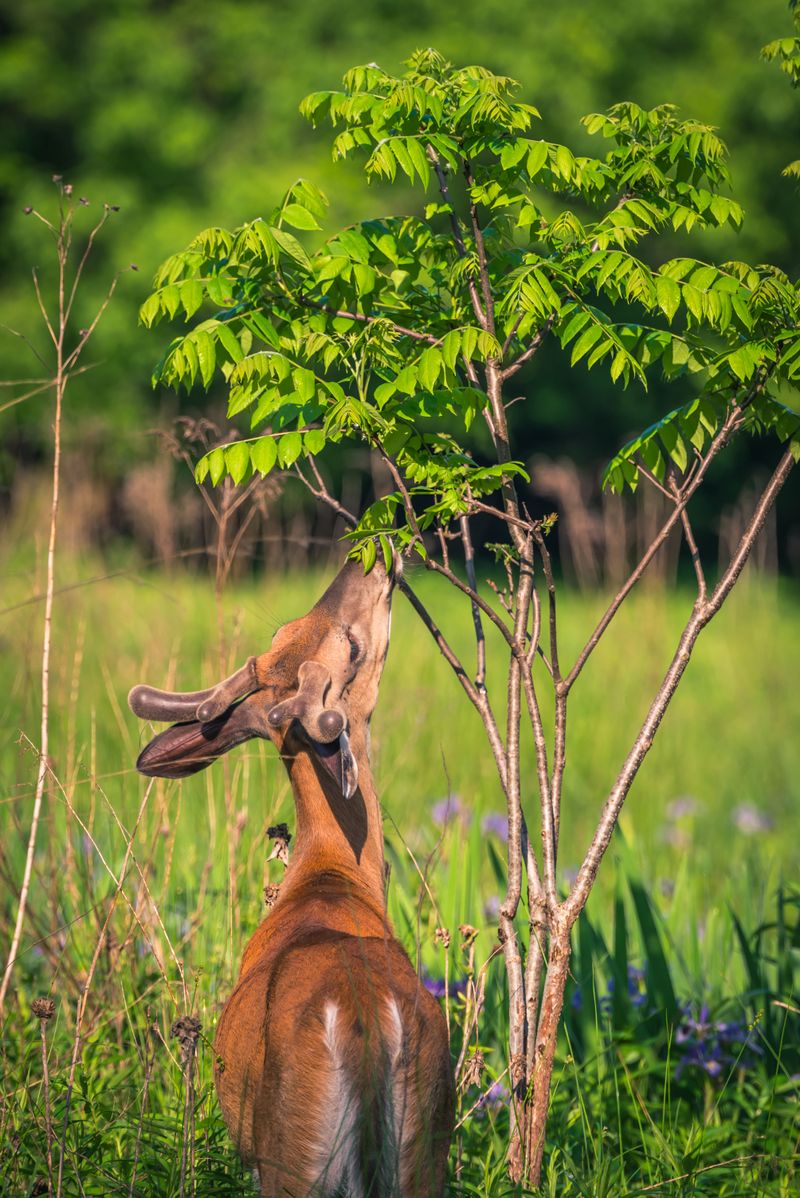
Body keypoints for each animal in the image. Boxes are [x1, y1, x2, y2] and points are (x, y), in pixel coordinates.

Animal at [128, 555, 454, 1197]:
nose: (365, 561)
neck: (329, 872)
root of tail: (363, 1020)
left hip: (318, 1156)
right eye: (351, 647)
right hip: (375, 1155)